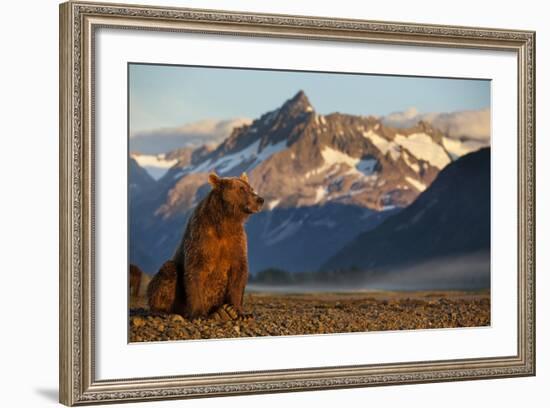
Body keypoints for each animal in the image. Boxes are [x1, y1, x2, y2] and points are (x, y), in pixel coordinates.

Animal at [148, 171, 264, 320]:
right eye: (241, 189)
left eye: (251, 188)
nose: (260, 199)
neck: (225, 221)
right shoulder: (201, 238)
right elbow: (196, 271)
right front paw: (198, 314)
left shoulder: (236, 241)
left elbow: (239, 272)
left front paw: (239, 311)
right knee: (168, 272)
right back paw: (161, 311)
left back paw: (223, 312)